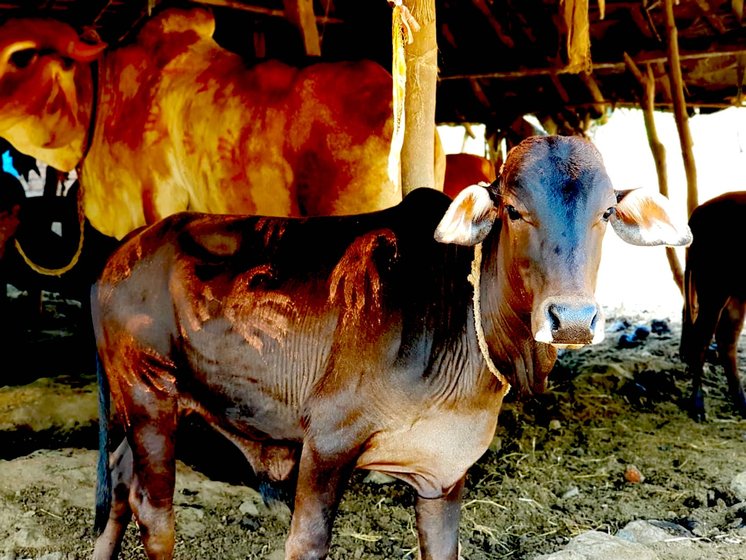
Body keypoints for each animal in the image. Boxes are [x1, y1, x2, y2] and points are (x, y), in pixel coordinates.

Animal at [90, 136, 688, 560]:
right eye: (515, 211)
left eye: (606, 213)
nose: (573, 319)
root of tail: (121, 254)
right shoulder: (328, 441)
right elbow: (306, 542)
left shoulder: (444, 471)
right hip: (149, 395)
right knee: (154, 512)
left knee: (118, 485)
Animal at [680, 189, 744, 420]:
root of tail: (700, 210)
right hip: (713, 288)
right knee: (702, 339)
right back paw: (697, 404)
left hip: (735, 293)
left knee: (727, 340)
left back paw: (741, 402)